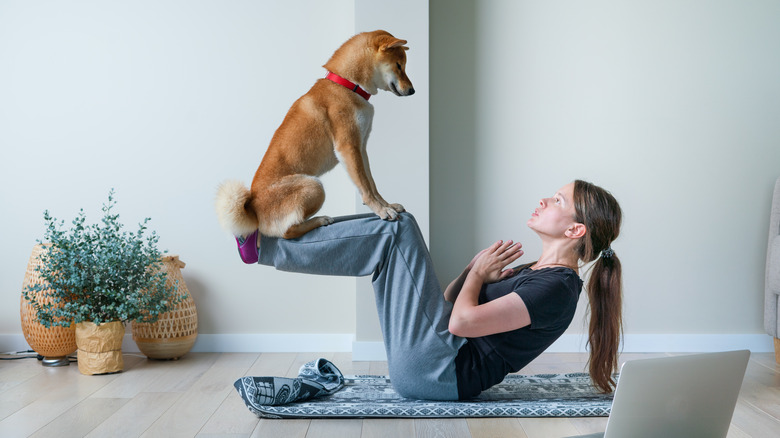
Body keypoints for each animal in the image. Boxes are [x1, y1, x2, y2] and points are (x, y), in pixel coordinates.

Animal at [216, 30, 414, 260]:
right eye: (399, 66)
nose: (412, 90)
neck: (347, 85)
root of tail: (253, 211)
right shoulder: (348, 148)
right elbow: (365, 187)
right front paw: (381, 211)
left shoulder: (361, 148)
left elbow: (372, 184)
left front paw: (387, 205)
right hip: (314, 186)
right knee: (287, 232)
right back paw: (319, 220)